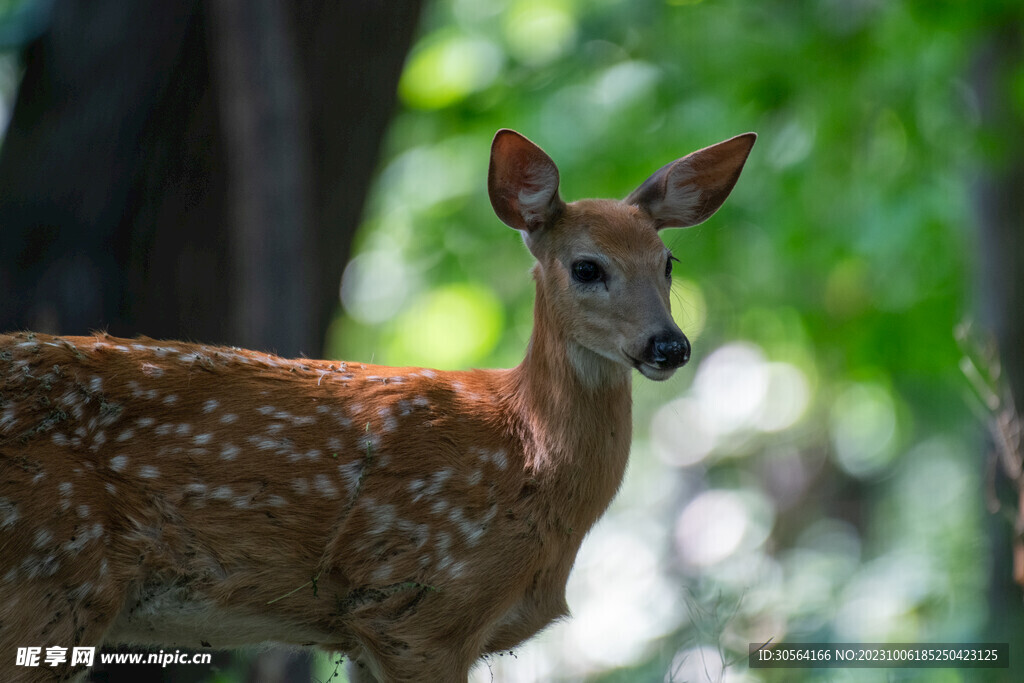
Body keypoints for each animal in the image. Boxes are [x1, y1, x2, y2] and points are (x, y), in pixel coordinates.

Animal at [0, 128, 754, 682]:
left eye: (668, 262)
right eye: (588, 266)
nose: (670, 344)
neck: (527, 451)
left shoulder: (370, 627)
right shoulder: (417, 600)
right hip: (49, 567)